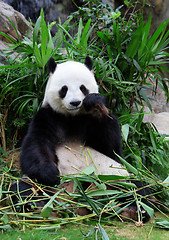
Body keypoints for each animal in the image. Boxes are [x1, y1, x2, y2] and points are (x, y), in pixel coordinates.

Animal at [11, 56, 152, 223]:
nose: (75, 102)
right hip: (47, 188)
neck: (72, 118)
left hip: (115, 178)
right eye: (64, 89)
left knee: (139, 188)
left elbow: (112, 148)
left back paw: (134, 210)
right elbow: (36, 146)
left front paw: (95, 103)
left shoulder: (90, 122)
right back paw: (38, 208)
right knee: (23, 188)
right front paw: (51, 173)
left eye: (83, 88)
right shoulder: (47, 117)